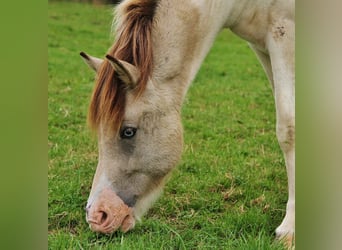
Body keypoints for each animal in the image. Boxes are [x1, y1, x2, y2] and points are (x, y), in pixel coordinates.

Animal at [79, 0, 294, 247]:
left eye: (128, 131)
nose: (98, 215)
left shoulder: (284, 37)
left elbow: (289, 128)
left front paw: (289, 230)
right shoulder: (262, 47)